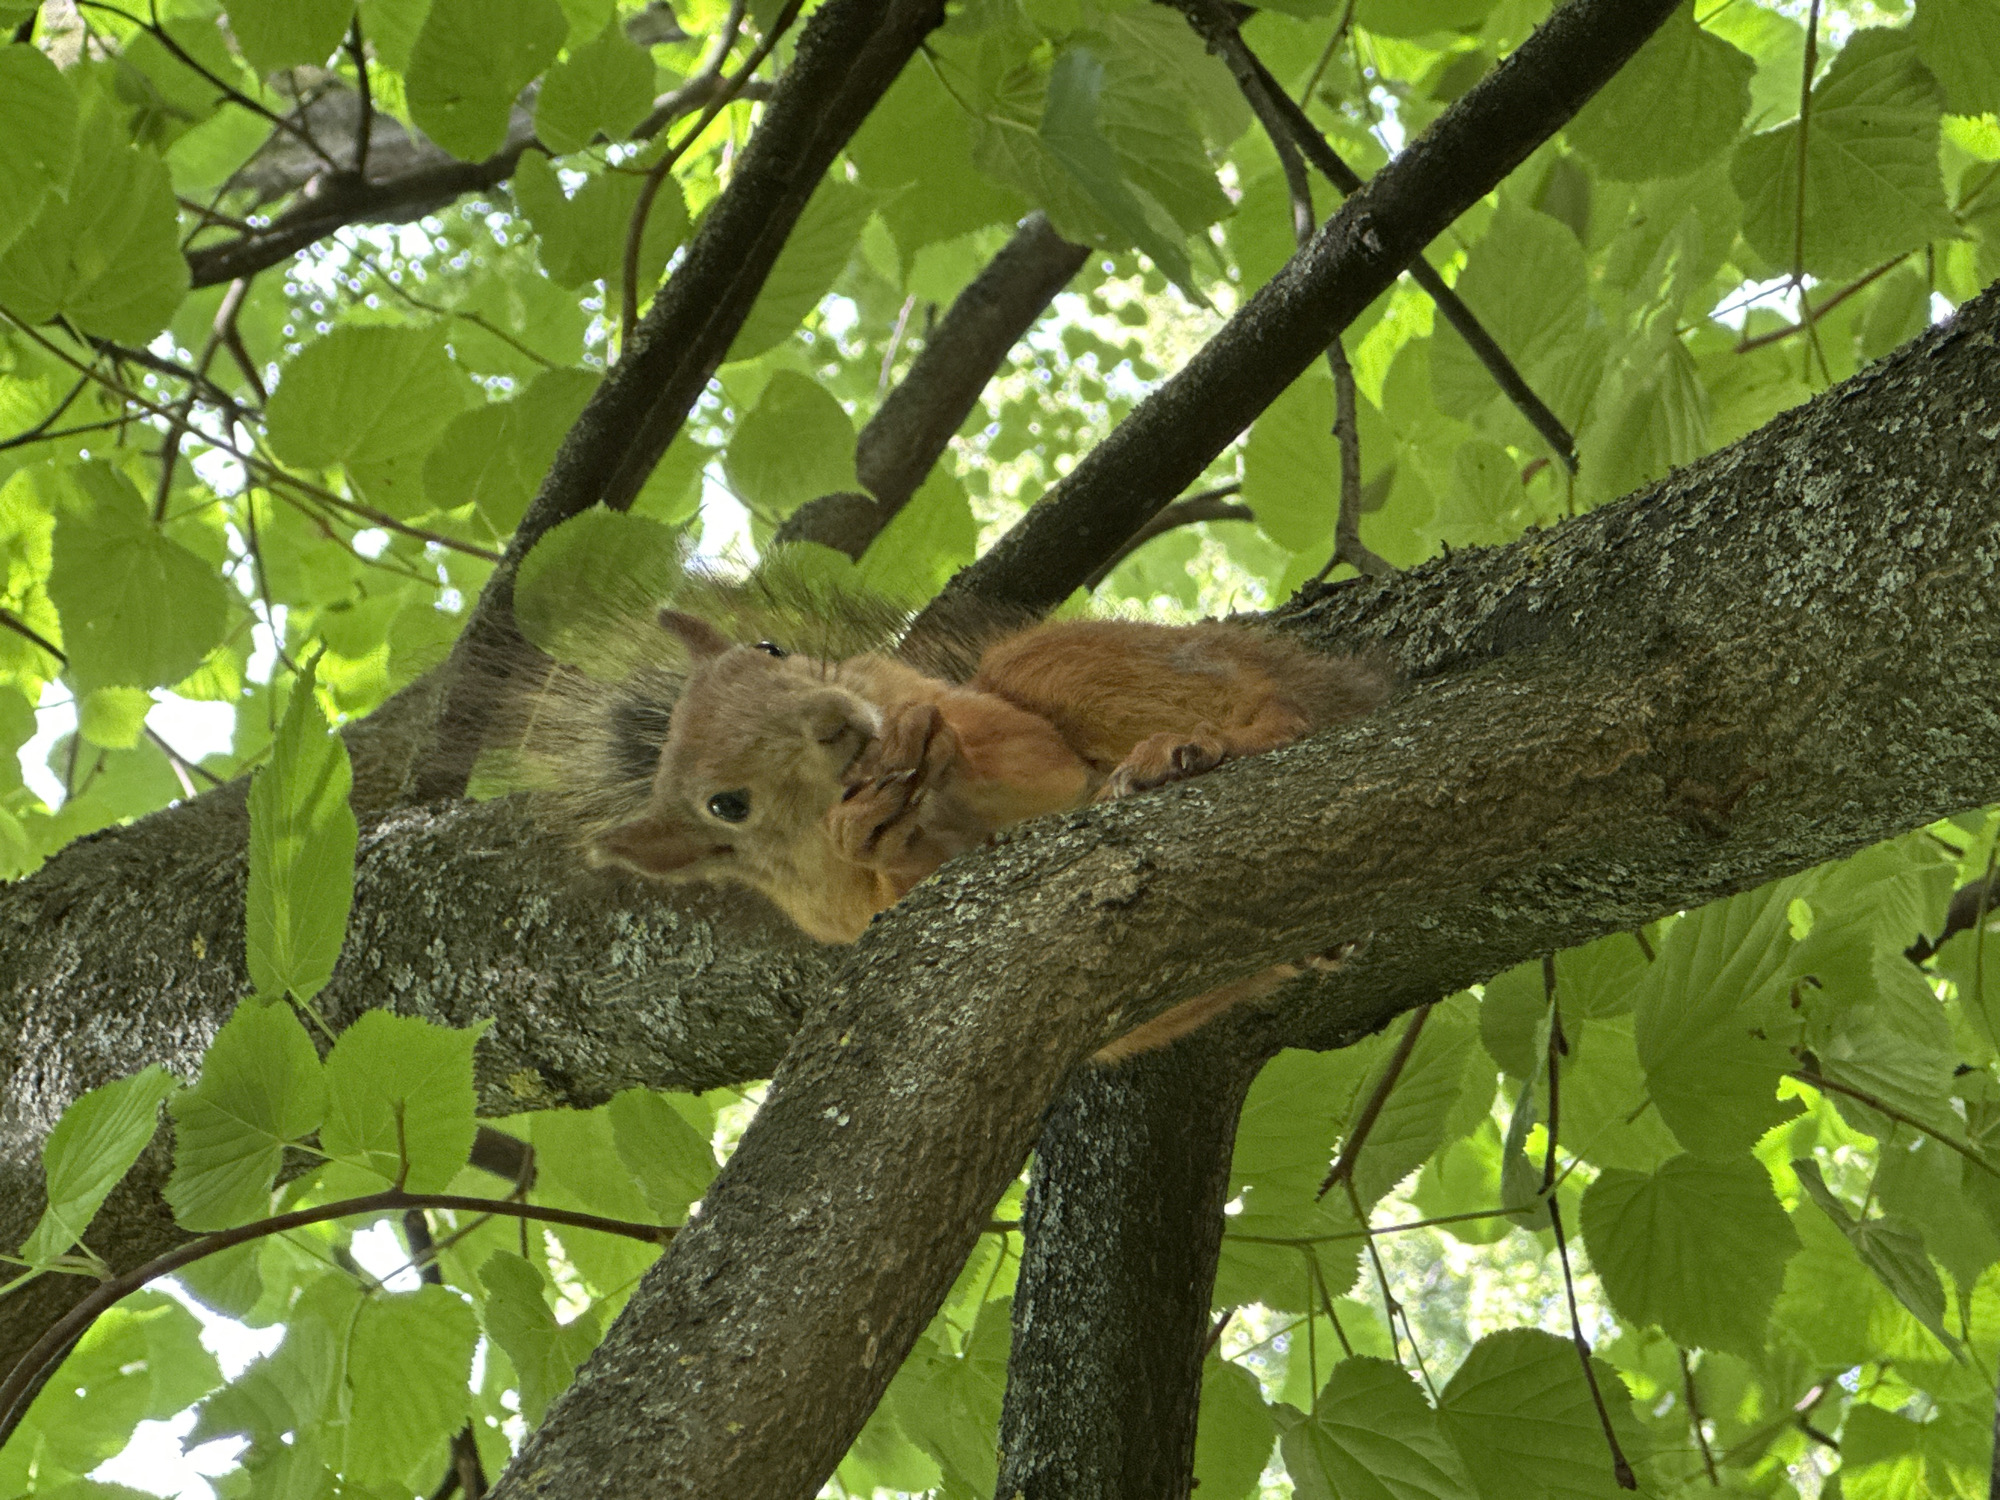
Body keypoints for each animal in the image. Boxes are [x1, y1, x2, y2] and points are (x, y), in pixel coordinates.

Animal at [571, 603, 1392, 1058]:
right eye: (726, 805)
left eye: (769, 648)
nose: (833, 719)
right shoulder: (844, 910)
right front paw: (867, 830)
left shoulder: (996, 729)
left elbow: (1020, 755)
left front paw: (921, 743)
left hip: (1068, 665)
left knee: (1280, 709)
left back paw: (1187, 750)